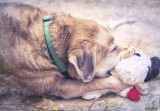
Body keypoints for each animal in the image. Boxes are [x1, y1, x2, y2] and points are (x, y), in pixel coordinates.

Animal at [0, 2, 134, 99]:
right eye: (113, 48)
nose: (135, 52)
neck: (48, 43)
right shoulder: (58, 86)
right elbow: (103, 82)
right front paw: (127, 82)